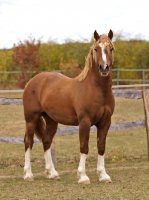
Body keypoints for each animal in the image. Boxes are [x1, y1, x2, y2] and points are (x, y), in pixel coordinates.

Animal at [22, 28, 114, 184]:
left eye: (111, 48)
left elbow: (101, 147)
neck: (95, 89)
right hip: (31, 119)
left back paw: (52, 173)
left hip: (51, 121)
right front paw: (83, 176)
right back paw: (28, 174)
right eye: (96, 49)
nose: (104, 68)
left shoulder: (105, 122)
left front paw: (103, 175)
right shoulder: (85, 122)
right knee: (28, 142)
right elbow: (84, 147)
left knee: (46, 141)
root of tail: (33, 81)